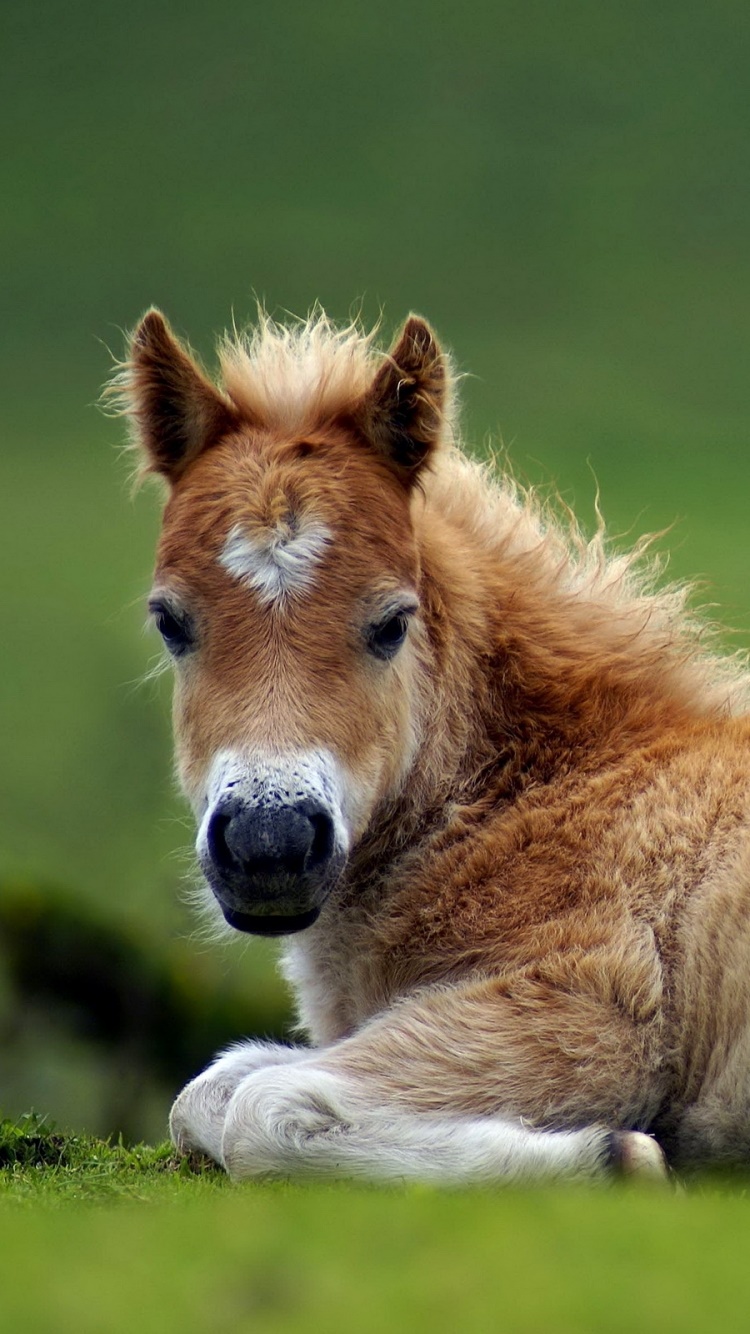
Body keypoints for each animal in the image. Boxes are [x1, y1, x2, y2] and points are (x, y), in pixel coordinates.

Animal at [114, 305, 750, 1183]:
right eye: (170, 621)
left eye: (392, 623)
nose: (269, 846)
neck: (550, 784)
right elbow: (210, 1090)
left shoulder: (591, 1003)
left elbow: (264, 1106)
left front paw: (617, 1156)